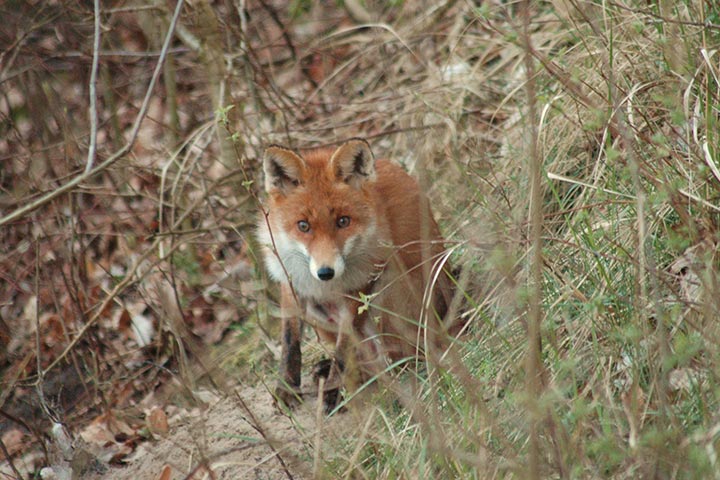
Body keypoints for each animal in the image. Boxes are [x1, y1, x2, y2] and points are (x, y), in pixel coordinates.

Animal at [256, 138, 457, 410]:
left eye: (343, 221)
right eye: (303, 226)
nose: (325, 272)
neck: (325, 287)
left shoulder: (361, 284)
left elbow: (343, 350)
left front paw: (332, 390)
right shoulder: (292, 281)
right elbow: (290, 343)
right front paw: (286, 387)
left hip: (390, 289)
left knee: (398, 357)